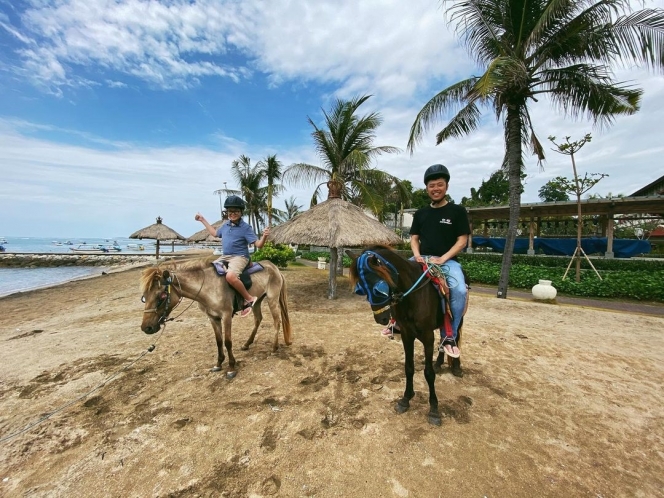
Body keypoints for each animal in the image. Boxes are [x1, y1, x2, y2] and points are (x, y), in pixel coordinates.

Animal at [139, 255, 290, 380]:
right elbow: (218, 341)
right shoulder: (213, 318)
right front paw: (218, 363)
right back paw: (247, 344)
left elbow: (228, 342)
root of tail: (274, 268)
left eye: (162, 296)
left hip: (272, 299)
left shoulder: (226, 316)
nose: (147, 328)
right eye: (144, 297)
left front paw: (231, 367)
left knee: (277, 321)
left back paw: (274, 347)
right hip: (257, 301)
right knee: (258, 319)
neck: (207, 287)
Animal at [348, 245, 466, 424]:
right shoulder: (406, 334)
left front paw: (434, 409)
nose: (381, 319)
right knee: (443, 338)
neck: (413, 296)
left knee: (453, 336)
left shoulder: (427, 337)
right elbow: (408, 368)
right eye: (360, 289)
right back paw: (439, 363)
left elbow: (428, 373)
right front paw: (406, 399)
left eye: (378, 289)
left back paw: (456, 364)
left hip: (459, 317)